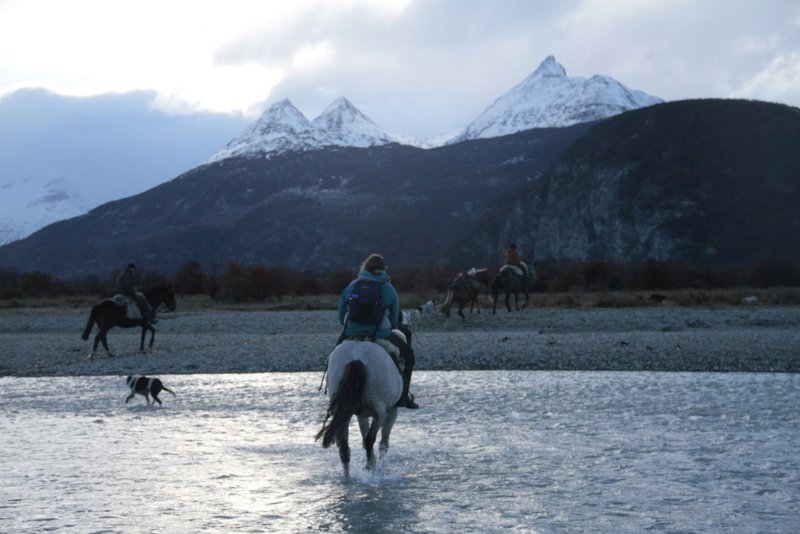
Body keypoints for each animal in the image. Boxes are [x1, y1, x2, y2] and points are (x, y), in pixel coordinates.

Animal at [316, 342, 404, 480]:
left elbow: (364, 432)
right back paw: (370, 469)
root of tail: (356, 360)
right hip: (380, 413)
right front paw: (380, 466)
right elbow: (382, 443)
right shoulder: (391, 412)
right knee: (370, 439)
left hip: (343, 411)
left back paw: (348, 477)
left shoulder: (361, 414)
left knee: (344, 446)